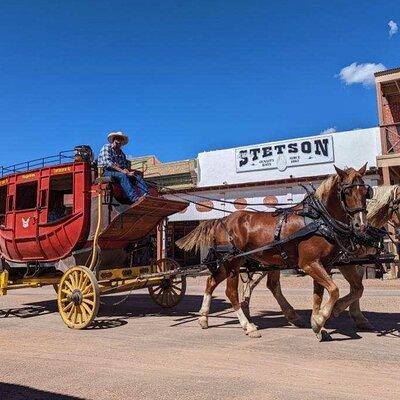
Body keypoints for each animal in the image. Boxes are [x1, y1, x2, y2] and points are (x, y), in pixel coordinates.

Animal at [177, 165, 370, 340]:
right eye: (346, 192)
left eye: (365, 191)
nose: (361, 225)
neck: (319, 220)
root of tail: (222, 219)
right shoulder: (309, 263)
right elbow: (334, 289)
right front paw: (322, 318)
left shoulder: (326, 264)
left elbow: (323, 294)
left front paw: (318, 323)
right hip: (233, 262)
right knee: (231, 292)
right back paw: (248, 326)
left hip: (230, 261)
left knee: (211, 282)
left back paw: (203, 318)